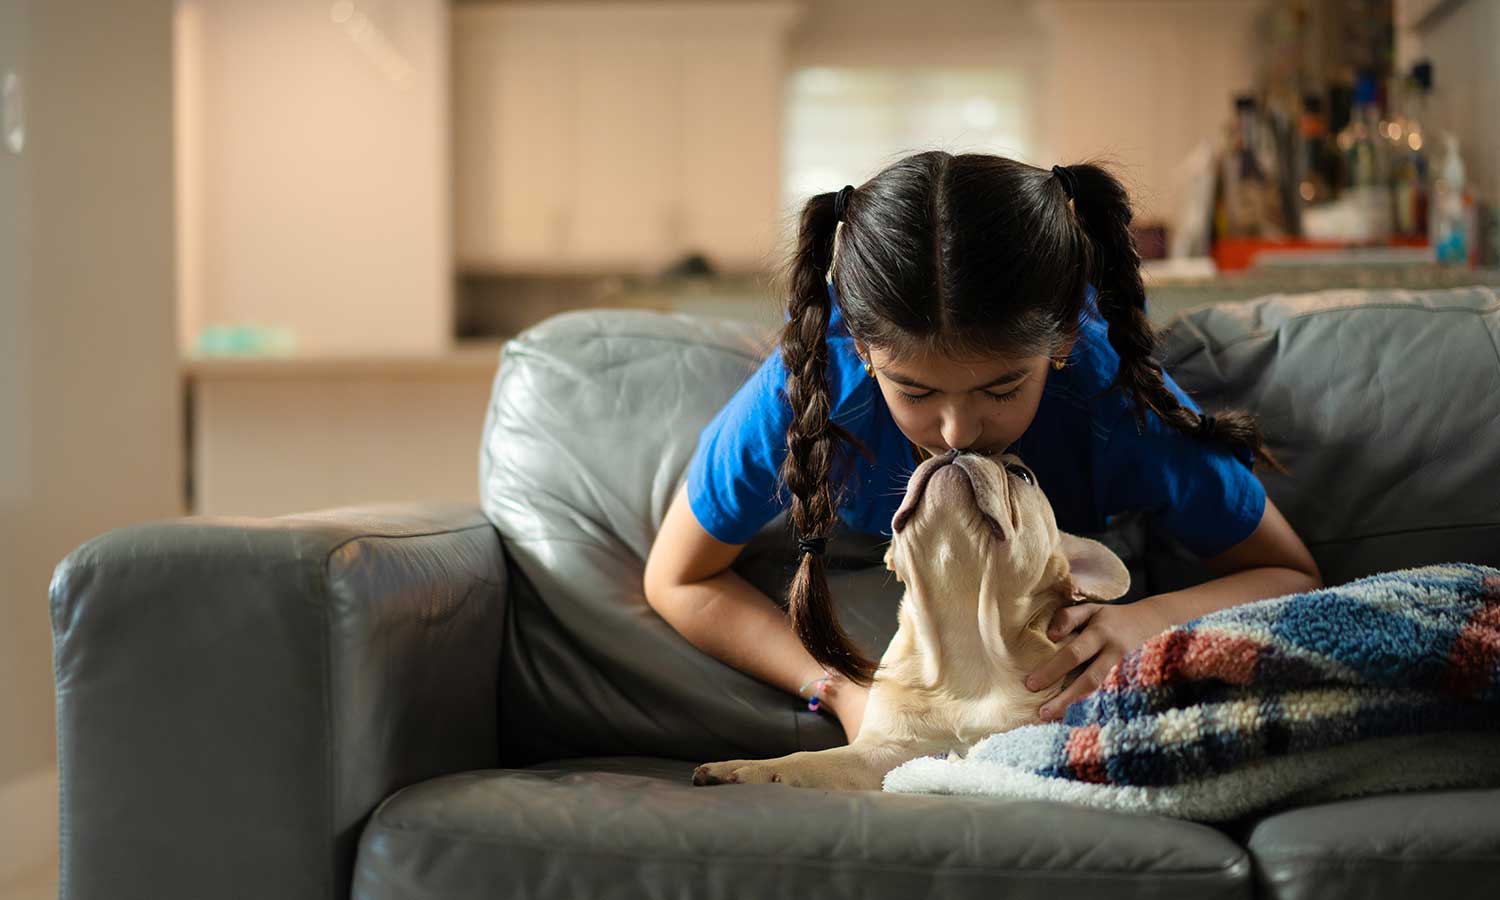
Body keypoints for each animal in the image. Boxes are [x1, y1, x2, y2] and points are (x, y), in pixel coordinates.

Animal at [690, 447, 1128, 786]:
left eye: (1022, 474)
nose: (958, 447)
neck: (966, 630)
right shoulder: (881, 754)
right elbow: (808, 760)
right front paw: (745, 768)